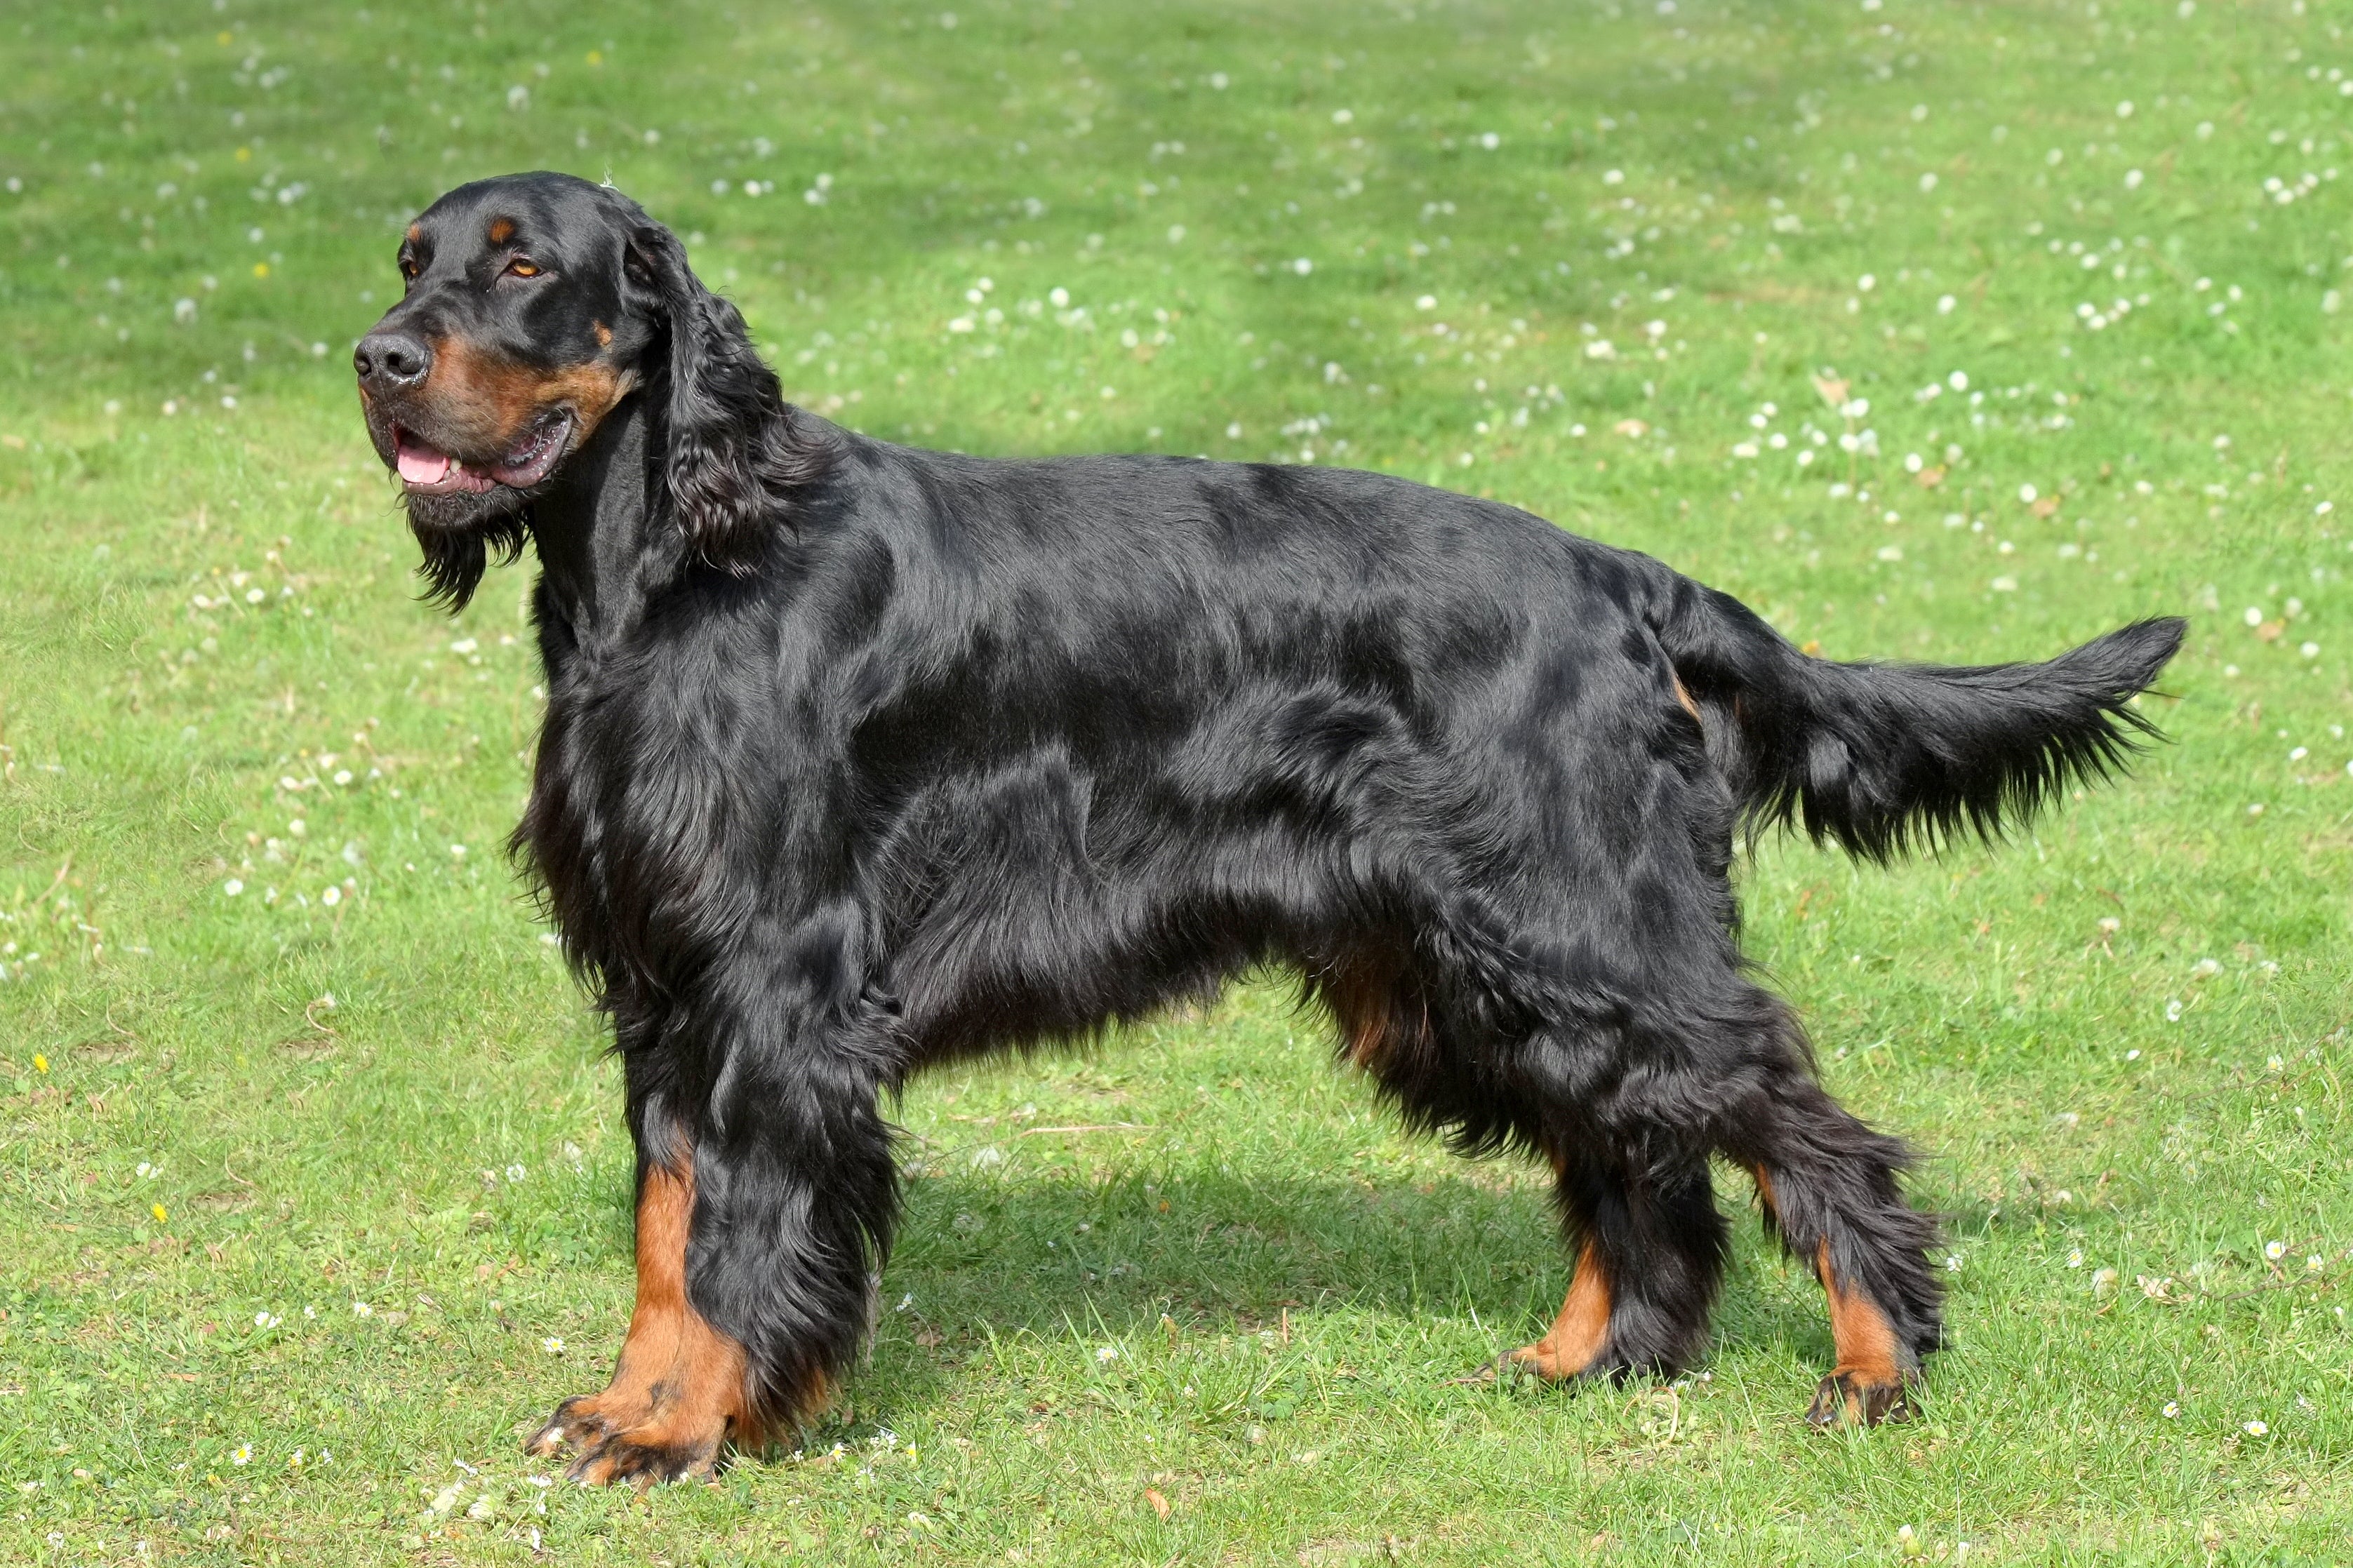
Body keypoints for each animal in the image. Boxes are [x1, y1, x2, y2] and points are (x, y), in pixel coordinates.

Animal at [352, 171, 2183, 1485]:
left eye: (519, 268)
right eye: (409, 257)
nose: (376, 359)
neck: (677, 565)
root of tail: (1622, 581)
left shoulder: (772, 987)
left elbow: (729, 1232)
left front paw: (686, 1426)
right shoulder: (663, 986)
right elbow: (665, 1233)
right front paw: (628, 1404)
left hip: (1575, 927)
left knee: (1795, 1125)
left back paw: (1875, 1367)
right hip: (1467, 961)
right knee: (1636, 1155)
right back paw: (1591, 1358)